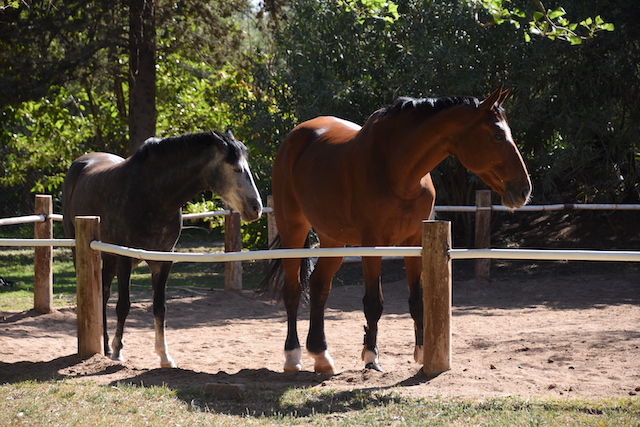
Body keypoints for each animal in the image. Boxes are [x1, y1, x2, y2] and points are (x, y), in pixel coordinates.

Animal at [63, 130, 263, 367]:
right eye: (236, 169)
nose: (256, 208)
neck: (151, 195)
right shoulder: (124, 258)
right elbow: (124, 305)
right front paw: (118, 351)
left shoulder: (163, 260)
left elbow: (160, 307)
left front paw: (164, 356)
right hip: (85, 251)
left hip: (109, 258)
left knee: (102, 292)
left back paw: (104, 346)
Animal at [265, 87, 531, 374]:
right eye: (497, 135)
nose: (524, 190)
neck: (398, 170)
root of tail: (295, 138)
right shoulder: (371, 245)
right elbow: (374, 302)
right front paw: (371, 357)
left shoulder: (415, 243)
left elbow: (417, 300)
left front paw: (422, 352)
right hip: (293, 230)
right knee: (293, 291)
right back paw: (293, 356)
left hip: (332, 239)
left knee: (319, 287)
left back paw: (321, 355)